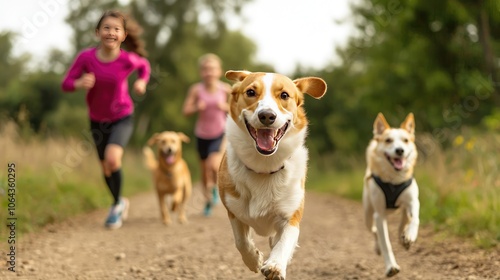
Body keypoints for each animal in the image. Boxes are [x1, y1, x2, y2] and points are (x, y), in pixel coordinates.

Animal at [219, 69, 328, 278]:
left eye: (284, 95)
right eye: (251, 92)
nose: (267, 116)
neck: (264, 167)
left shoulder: (291, 215)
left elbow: (285, 241)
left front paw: (275, 265)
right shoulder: (233, 210)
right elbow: (241, 241)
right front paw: (254, 260)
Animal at [362, 112, 420, 276]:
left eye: (406, 140)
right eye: (388, 140)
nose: (399, 150)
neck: (394, 180)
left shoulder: (413, 201)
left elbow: (415, 219)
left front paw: (410, 235)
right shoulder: (379, 215)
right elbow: (385, 243)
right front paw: (391, 267)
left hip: (404, 208)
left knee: (404, 220)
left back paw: (404, 237)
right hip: (368, 214)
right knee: (374, 230)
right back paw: (378, 247)